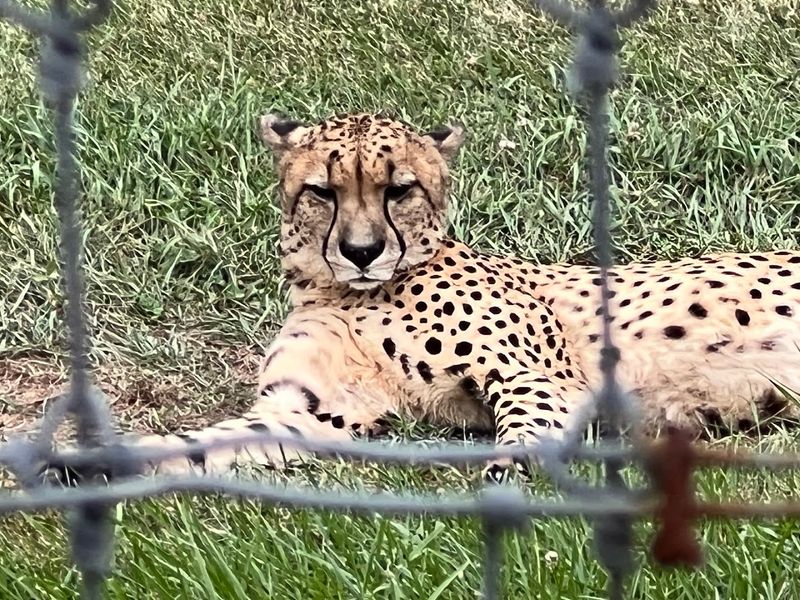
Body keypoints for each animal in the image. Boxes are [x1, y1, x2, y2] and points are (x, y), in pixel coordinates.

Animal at [102, 111, 800, 483]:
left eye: (400, 189)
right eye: (323, 191)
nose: (361, 251)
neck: (345, 293)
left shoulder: (536, 377)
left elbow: (522, 434)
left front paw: (503, 484)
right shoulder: (313, 411)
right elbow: (202, 441)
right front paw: (100, 466)